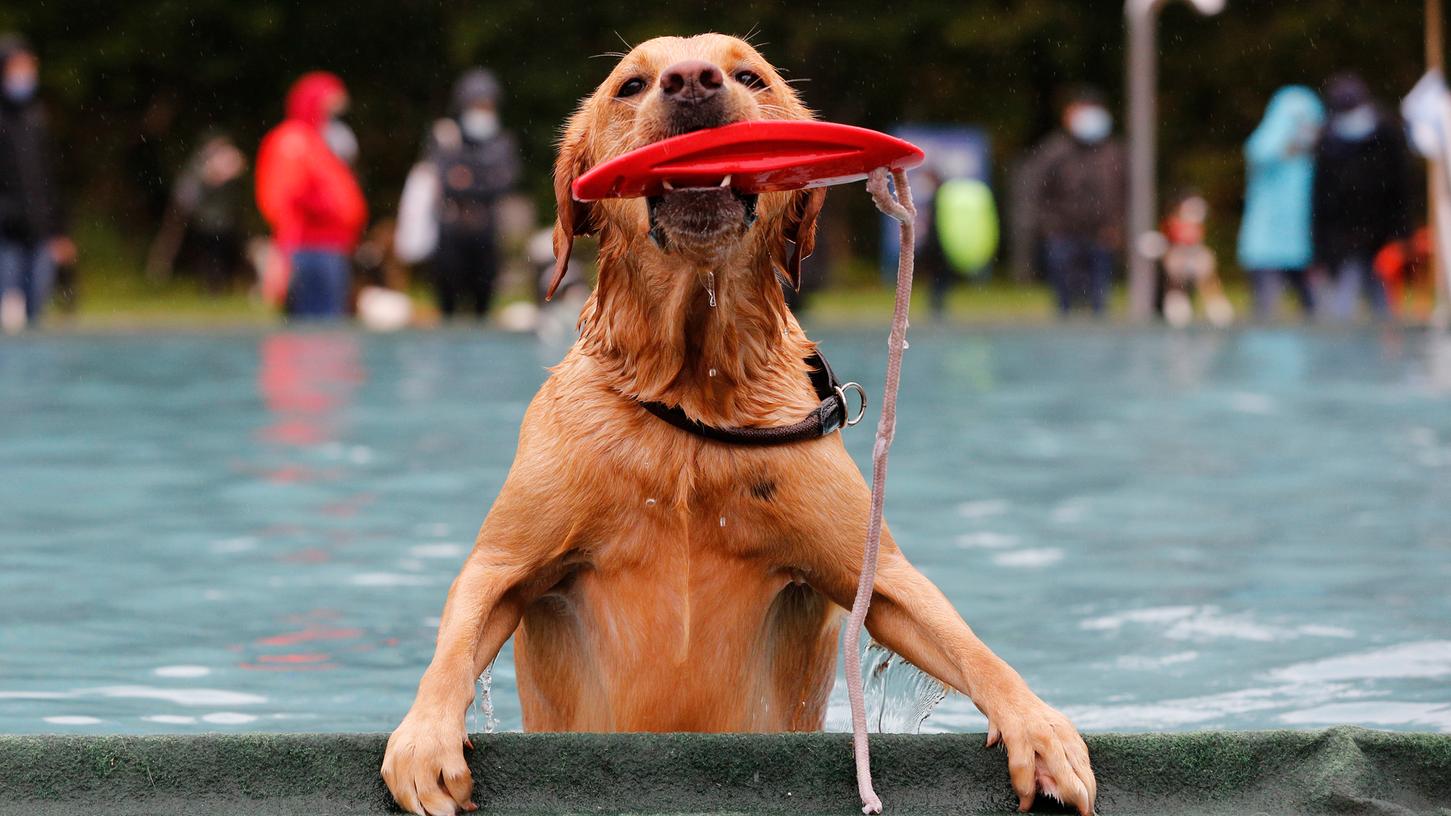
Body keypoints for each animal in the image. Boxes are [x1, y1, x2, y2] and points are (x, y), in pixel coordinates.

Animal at [380, 33, 1091, 813]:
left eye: (750, 75)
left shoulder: (874, 574)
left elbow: (963, 642)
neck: (692, 400)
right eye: (631, 85)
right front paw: (425, 737)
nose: (692, 80)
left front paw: (1036, 724)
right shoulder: (503, 564)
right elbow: (457, 641)